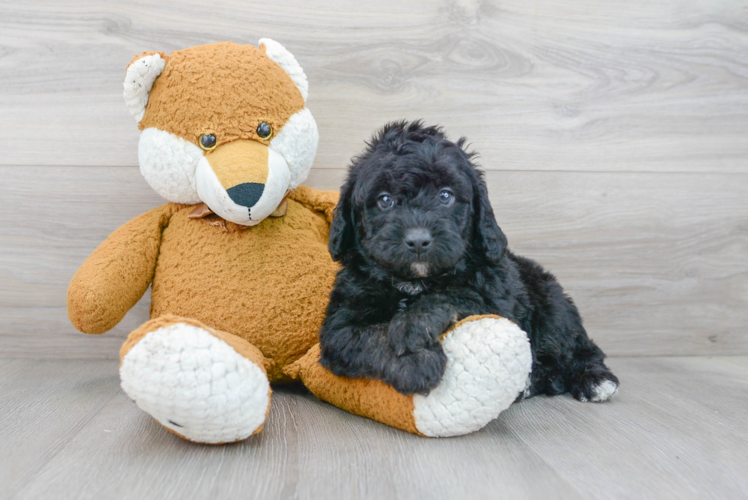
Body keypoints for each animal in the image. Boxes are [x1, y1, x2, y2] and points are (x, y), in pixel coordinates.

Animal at [322, 120, 620, 402]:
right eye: (385, 200)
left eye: (445, 195)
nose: (418, 240)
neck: (415, 282)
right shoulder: (338, 327)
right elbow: (368, 336)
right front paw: (416, 365)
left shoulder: (494, 297)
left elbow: (457, 294)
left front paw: (412, 325)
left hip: (554, 305)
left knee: (581, 347)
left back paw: (594, 379)